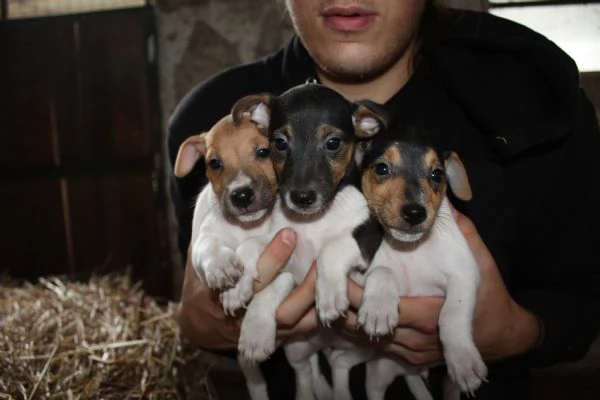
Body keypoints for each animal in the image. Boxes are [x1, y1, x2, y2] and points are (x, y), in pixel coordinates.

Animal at [354, 124, 490, 396]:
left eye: (437, 174)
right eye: (382, 168)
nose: (415, 213)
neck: (412, 251)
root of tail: (413, 370)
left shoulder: (465, 275)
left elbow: (451, 314)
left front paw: (463, 359)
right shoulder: (362, 275)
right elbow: (382, 271)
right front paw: (378, 309)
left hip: (447, 385)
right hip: (376, 378)